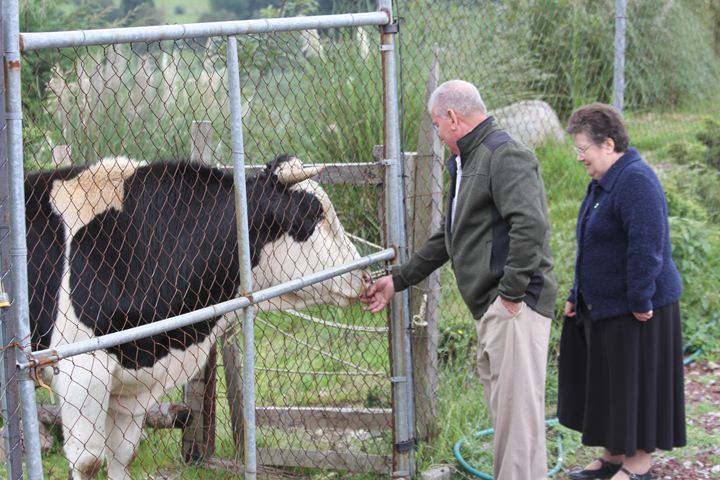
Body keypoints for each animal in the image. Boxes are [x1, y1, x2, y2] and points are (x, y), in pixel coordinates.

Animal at [24, 156, 368, 478]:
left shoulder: (130, 384)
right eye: (315, 215)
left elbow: (122, 457)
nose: (364, 276)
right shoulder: (81, 371)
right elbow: (88, 462)